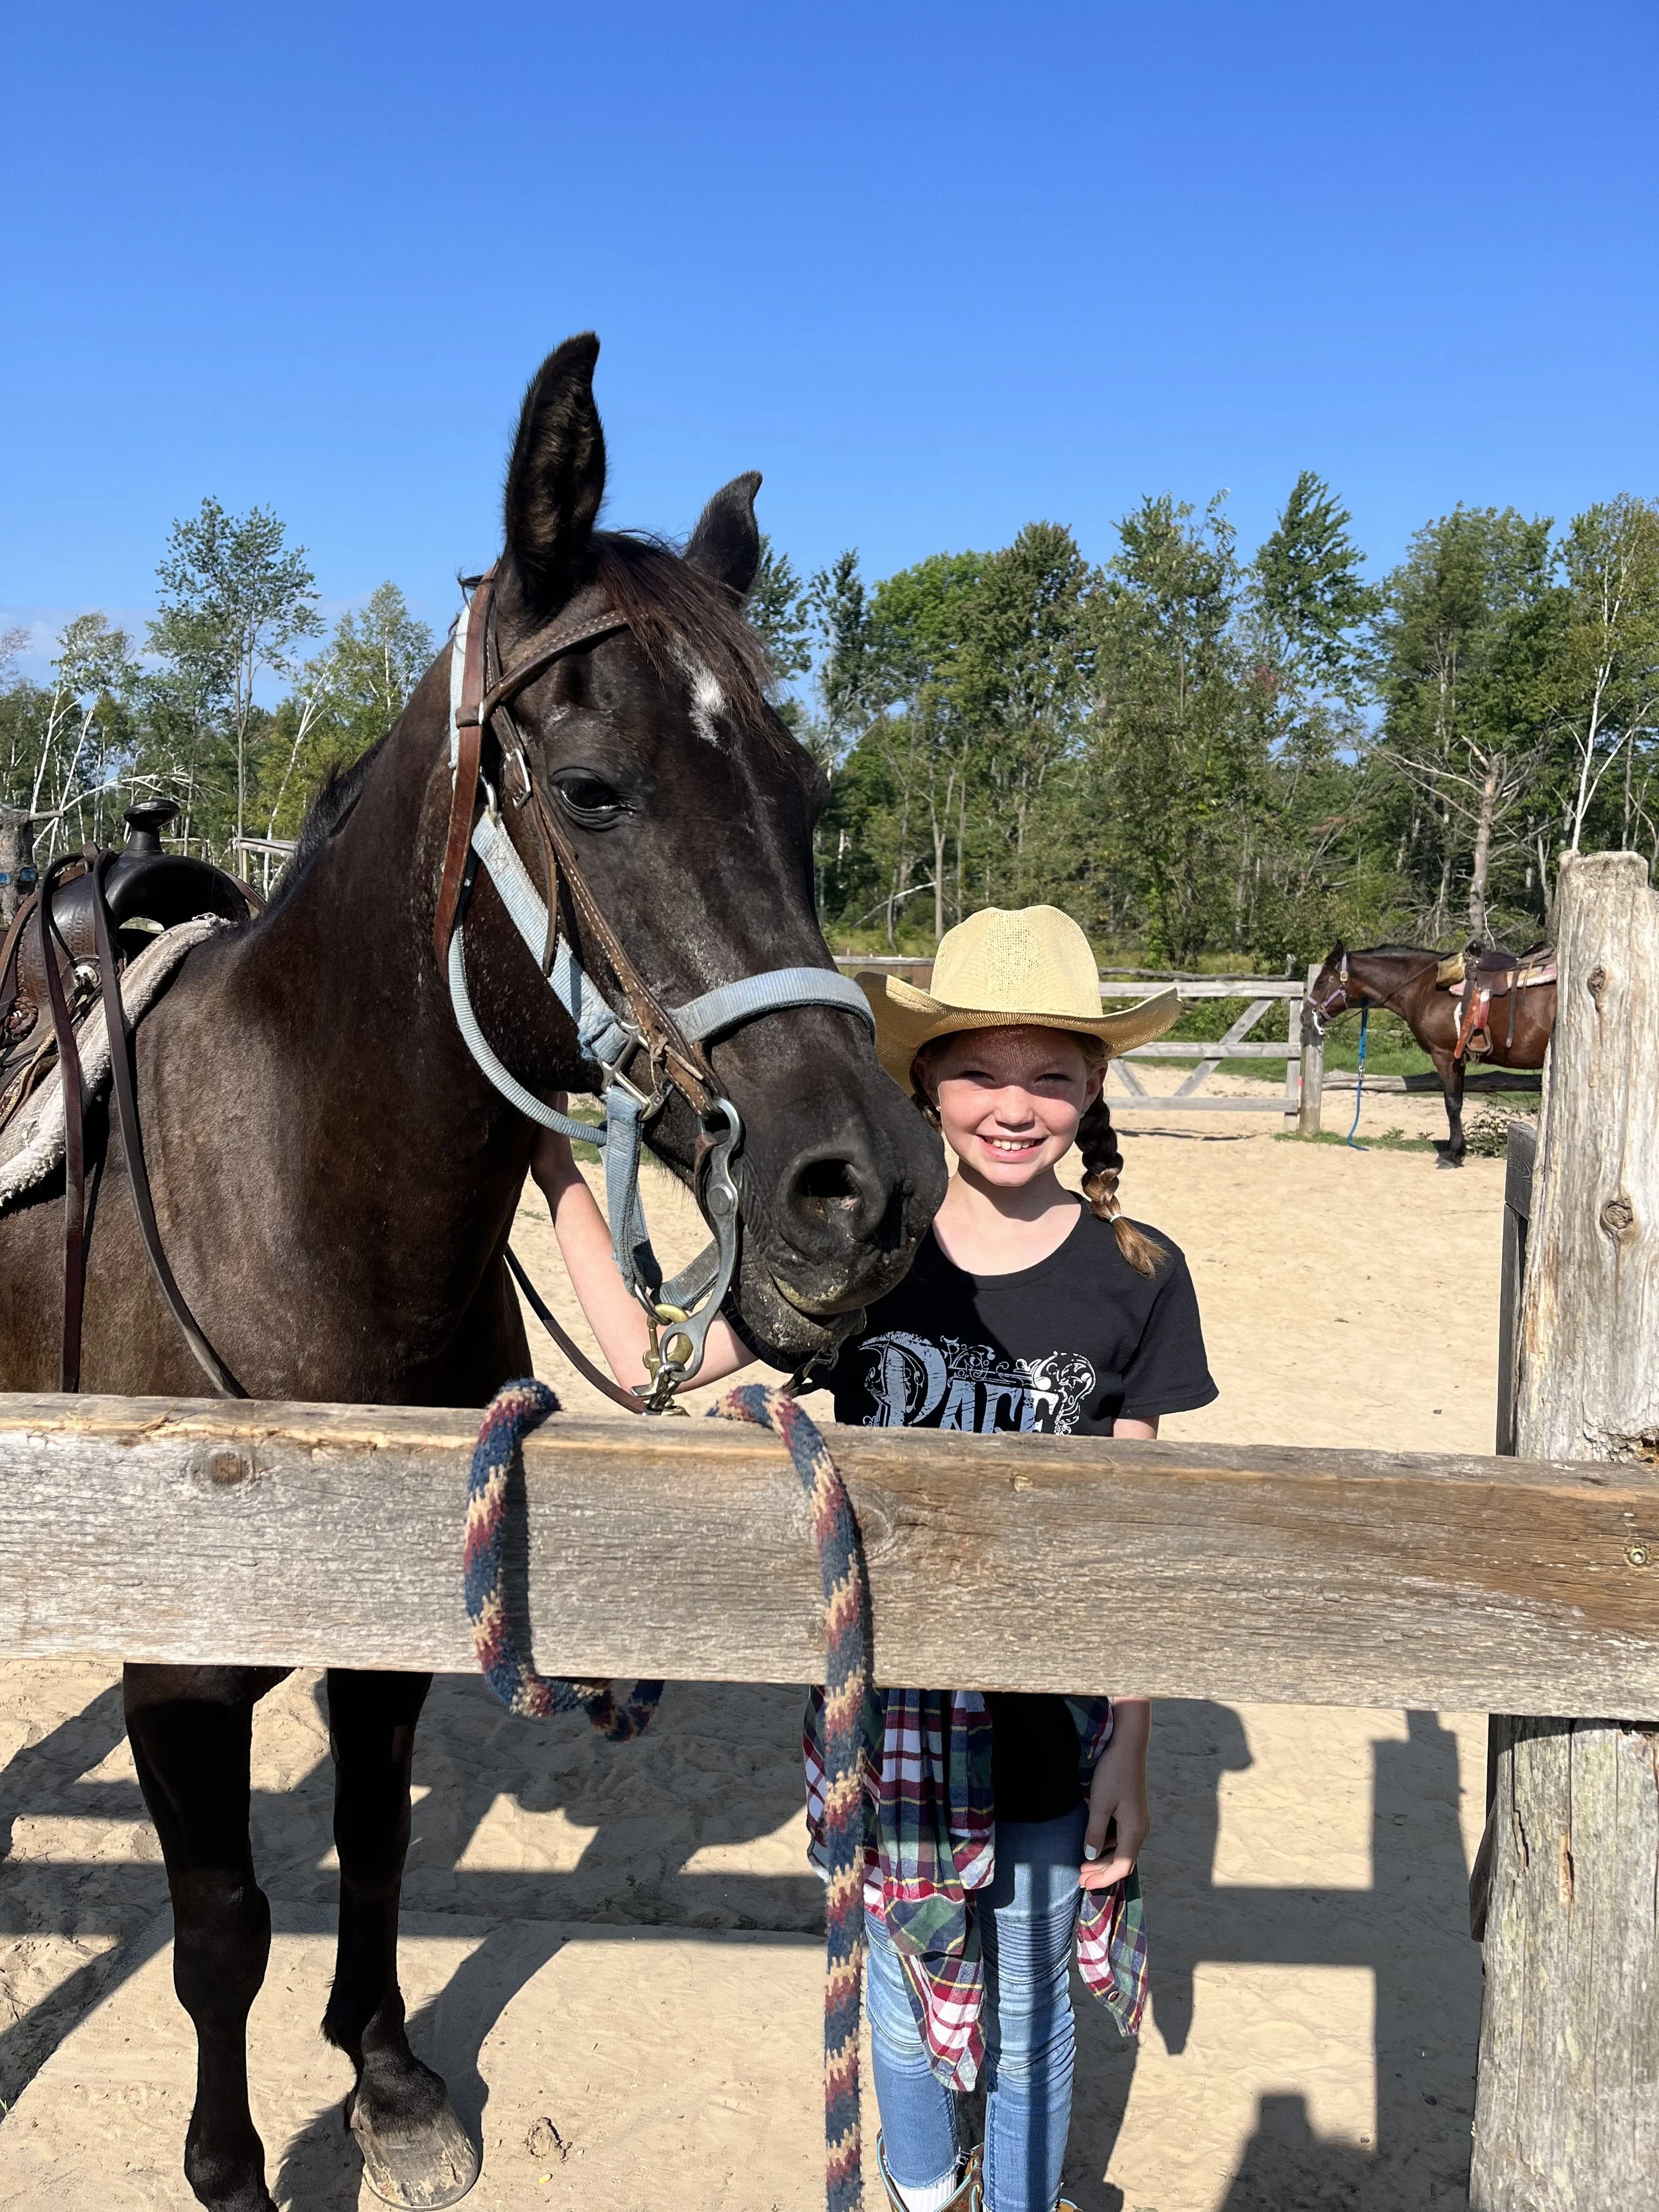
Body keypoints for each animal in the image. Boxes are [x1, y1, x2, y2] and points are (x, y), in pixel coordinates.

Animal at [0, 334, 947, 2212]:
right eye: (591, 789)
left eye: (808, 799)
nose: (863, 1193)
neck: (298, 1218)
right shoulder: (179, 1672)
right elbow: (223, 1928)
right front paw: (234, 2168)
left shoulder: (385, 1634)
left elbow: (370, 1851)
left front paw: (391, 2087)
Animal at [1308, 940, 1556, 1167]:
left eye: (1321, 981)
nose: (1305, 1015)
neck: (1425, 987)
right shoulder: (1458, 1059)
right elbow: (1458, 1101)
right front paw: (1458, 1151)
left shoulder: (1443, 1055)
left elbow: (1452, 1103)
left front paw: (1452, 1156)